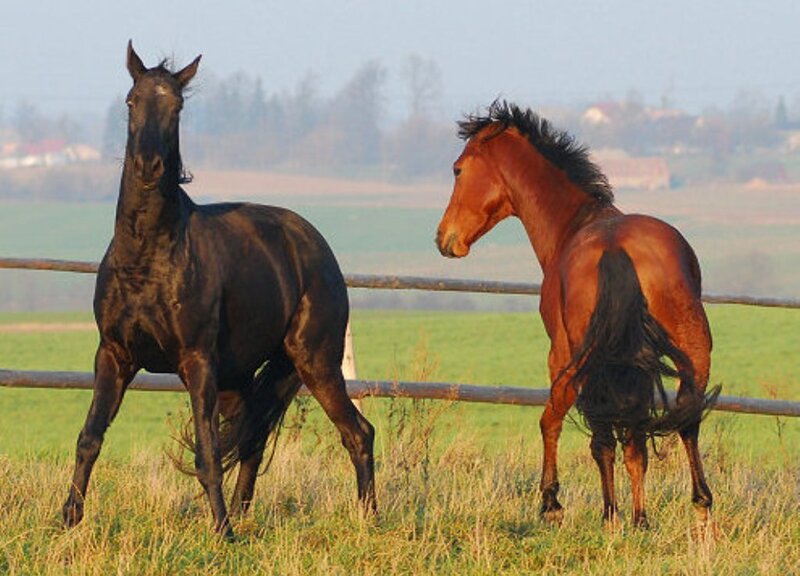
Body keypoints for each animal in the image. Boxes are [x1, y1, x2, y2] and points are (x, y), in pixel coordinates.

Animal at [61, 42, 376, 539]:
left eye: (177, 106)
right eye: (131, 101)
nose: (148, 165)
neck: (149, 258)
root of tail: (315, 245)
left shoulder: (196, 362)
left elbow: (207, 452)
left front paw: (221, 533)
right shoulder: (113, 355)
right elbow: (90, 437)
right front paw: (68, 520)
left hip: (315, 361)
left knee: (358, 433)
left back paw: (368, 521)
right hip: (241, 376)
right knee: (252, 440)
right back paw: (246, 518)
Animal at [436, 101, 719, 528]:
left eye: (457, 169)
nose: (444, 239)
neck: (576, 222)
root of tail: (616, 248)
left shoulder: (559, 354)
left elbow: (552, 421)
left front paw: (551, 501)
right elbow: (634, 440)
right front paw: (636, 516)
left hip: (588, 360)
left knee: (601, 436)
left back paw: (610, 514)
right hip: (690, 350)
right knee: (680, 421)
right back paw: (685, 507)